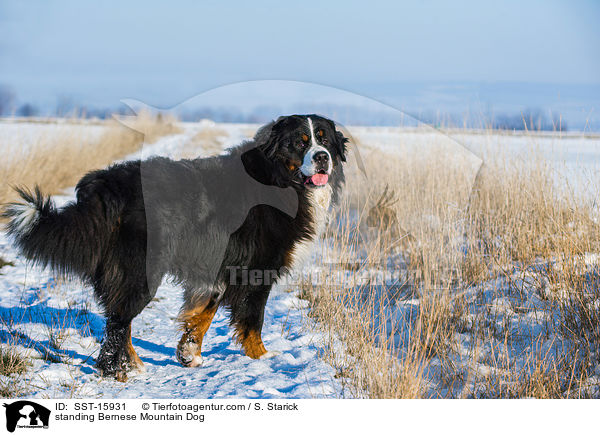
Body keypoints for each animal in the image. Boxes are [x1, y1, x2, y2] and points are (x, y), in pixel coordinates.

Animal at [3, 113, 346, 382]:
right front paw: (263, 357)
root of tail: (106, 186)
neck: (279, 179)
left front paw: (188, 352)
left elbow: (203, 313)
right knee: (118, 321)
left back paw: (133, 363)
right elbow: (252, 320)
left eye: (324, 140)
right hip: (140, 270)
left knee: (119, 318)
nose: (322, 157)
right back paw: (117, 371)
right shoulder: (256, 270)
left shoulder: (219, 268)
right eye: (300, 142)